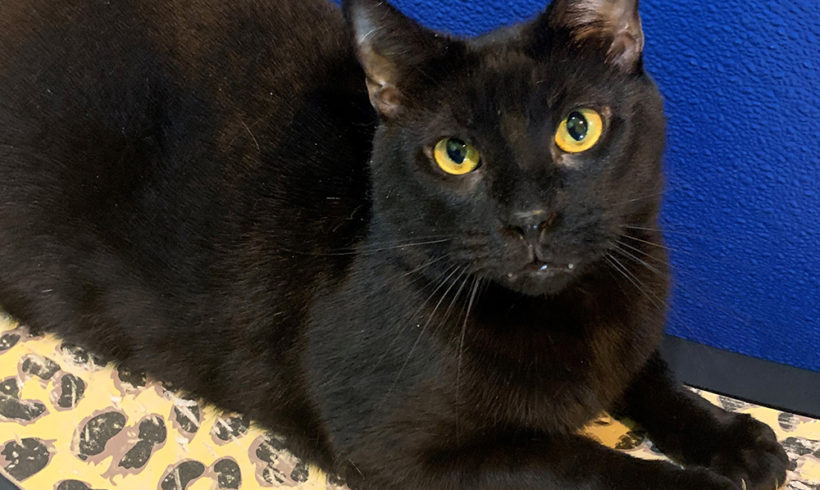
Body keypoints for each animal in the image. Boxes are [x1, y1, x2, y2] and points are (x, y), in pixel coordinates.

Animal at [0, 0, 792, 488]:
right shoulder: (400, 449)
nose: (530, 218)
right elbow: (582, 463)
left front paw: (735, 439)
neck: (572, 313)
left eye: (579, 128)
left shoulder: (626, 311)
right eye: (454, 155)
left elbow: (651, 373)